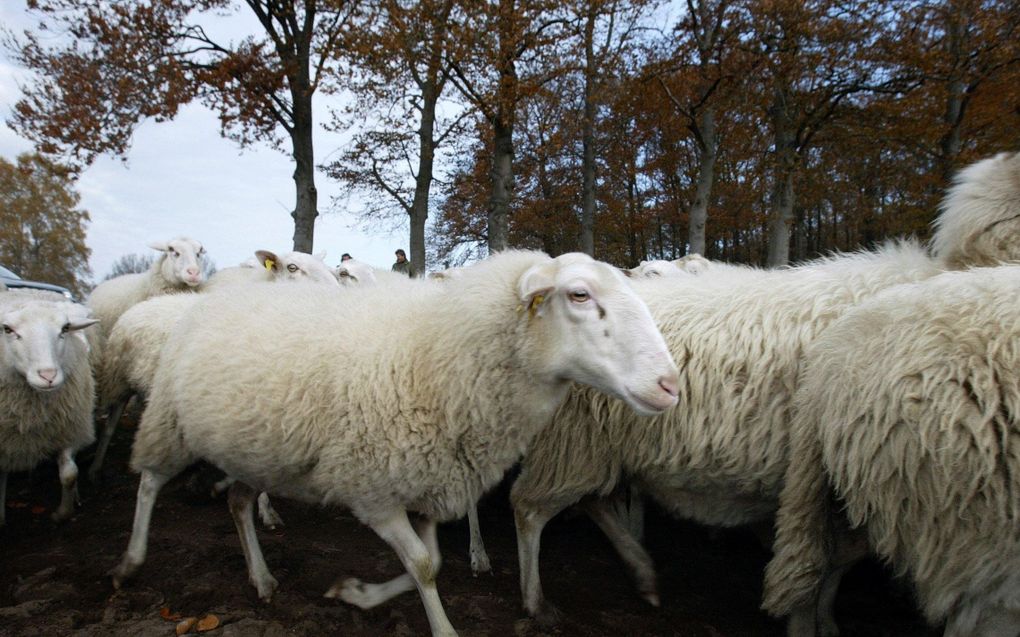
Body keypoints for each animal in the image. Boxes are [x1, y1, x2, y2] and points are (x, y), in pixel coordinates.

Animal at [0, 293, 98, 525]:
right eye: (7, 329)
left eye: (65, 328)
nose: (48, 376)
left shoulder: (68, 426)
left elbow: (69, 474)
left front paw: (62, 513)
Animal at [109, 249, 677, 635]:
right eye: (579, 295)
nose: (671, 384)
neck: (436, 355)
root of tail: (217, 295)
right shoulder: (374, 492)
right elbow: (424, 566)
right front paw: (442, 629)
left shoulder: (424, 483)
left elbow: (432, 562)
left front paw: (355, 593)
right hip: (171, 420)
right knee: (149, 483)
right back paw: (130, 563)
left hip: (255, 449)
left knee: (239, 502)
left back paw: (263, 579)